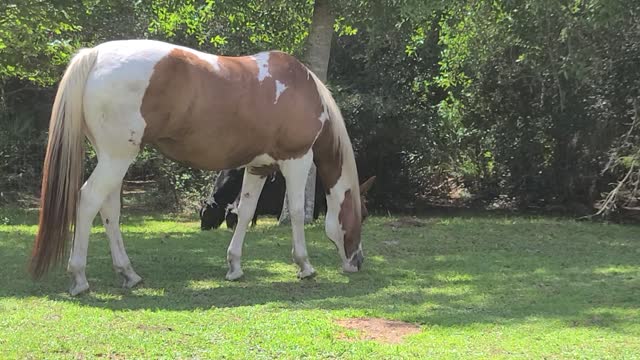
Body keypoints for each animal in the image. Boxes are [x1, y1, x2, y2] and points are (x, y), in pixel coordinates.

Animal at [30, 38, 370, 296]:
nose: (357, 262)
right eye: (362, 215)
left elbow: (244, 212)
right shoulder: (296, 160)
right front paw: (305, 266)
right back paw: (79, 279)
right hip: (116, 158)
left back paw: (128, 274)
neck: (300, 88)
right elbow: (298, 212)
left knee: (109, 209)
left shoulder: (258, 167)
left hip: (113, 159)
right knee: (88, 201)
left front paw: (234, 267)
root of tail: (95, 54)